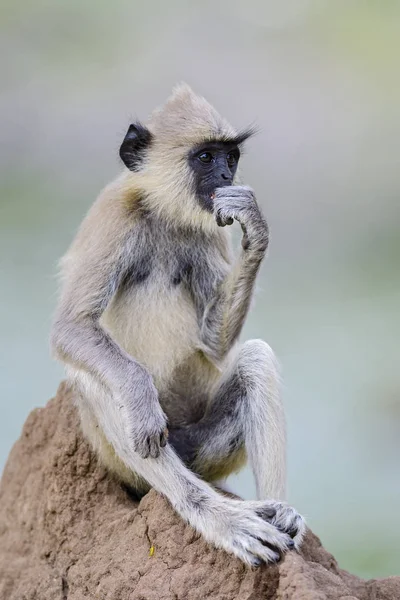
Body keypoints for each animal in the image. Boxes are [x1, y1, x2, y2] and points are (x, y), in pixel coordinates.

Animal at [51, 84, 304, 568]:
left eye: (230, 157)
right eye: (205, 157)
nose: (224, 174)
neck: (163, 214)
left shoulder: (211, 229)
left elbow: (215, 344)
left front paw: (255, 224)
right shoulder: (114, 216)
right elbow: (72, 329)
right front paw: (140, 396)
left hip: (203, 451)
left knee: (256, 359)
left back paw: (277, 511)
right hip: (121, 463)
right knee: (96, 380)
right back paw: (218, 516)